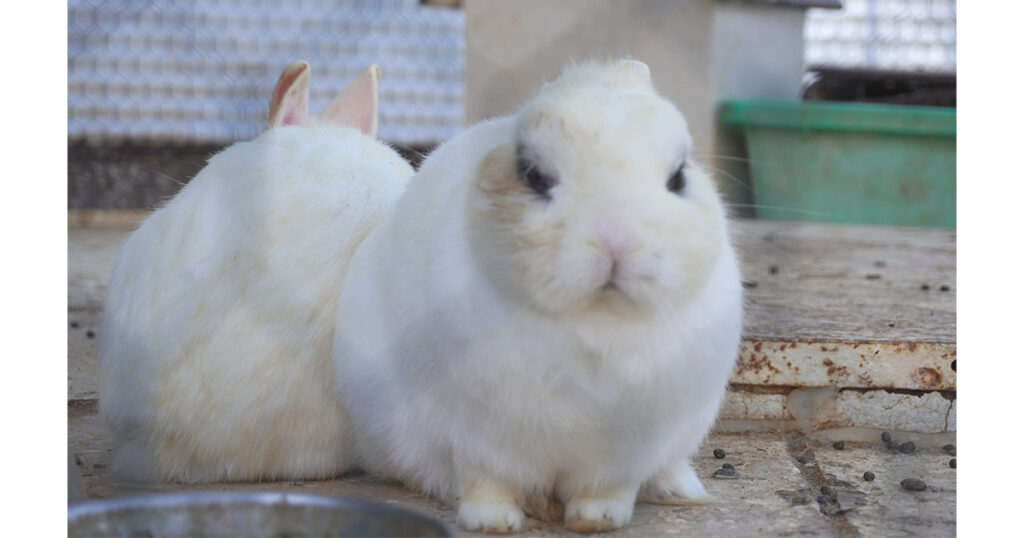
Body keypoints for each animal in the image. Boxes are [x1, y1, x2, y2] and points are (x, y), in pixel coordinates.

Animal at [335, 59, 745, 532]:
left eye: (678, 177)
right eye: (532, 174)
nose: (615, 241)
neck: (593, 318)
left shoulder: (623, 454)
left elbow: (608, 490)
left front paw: (597, 520)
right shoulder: (477, 437)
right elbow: (486, 482)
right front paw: (492, 522)